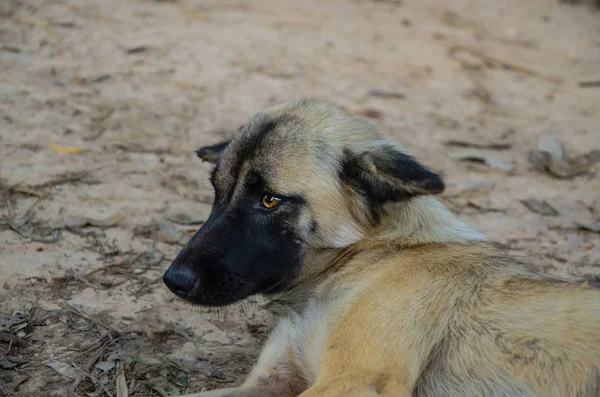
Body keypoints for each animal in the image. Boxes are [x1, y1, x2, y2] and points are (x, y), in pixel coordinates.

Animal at [163, 99, 600, 396]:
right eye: (217, 192)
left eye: (269, 200)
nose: (173, 280)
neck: (364, 259)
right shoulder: (270, 382)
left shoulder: (359, 380)